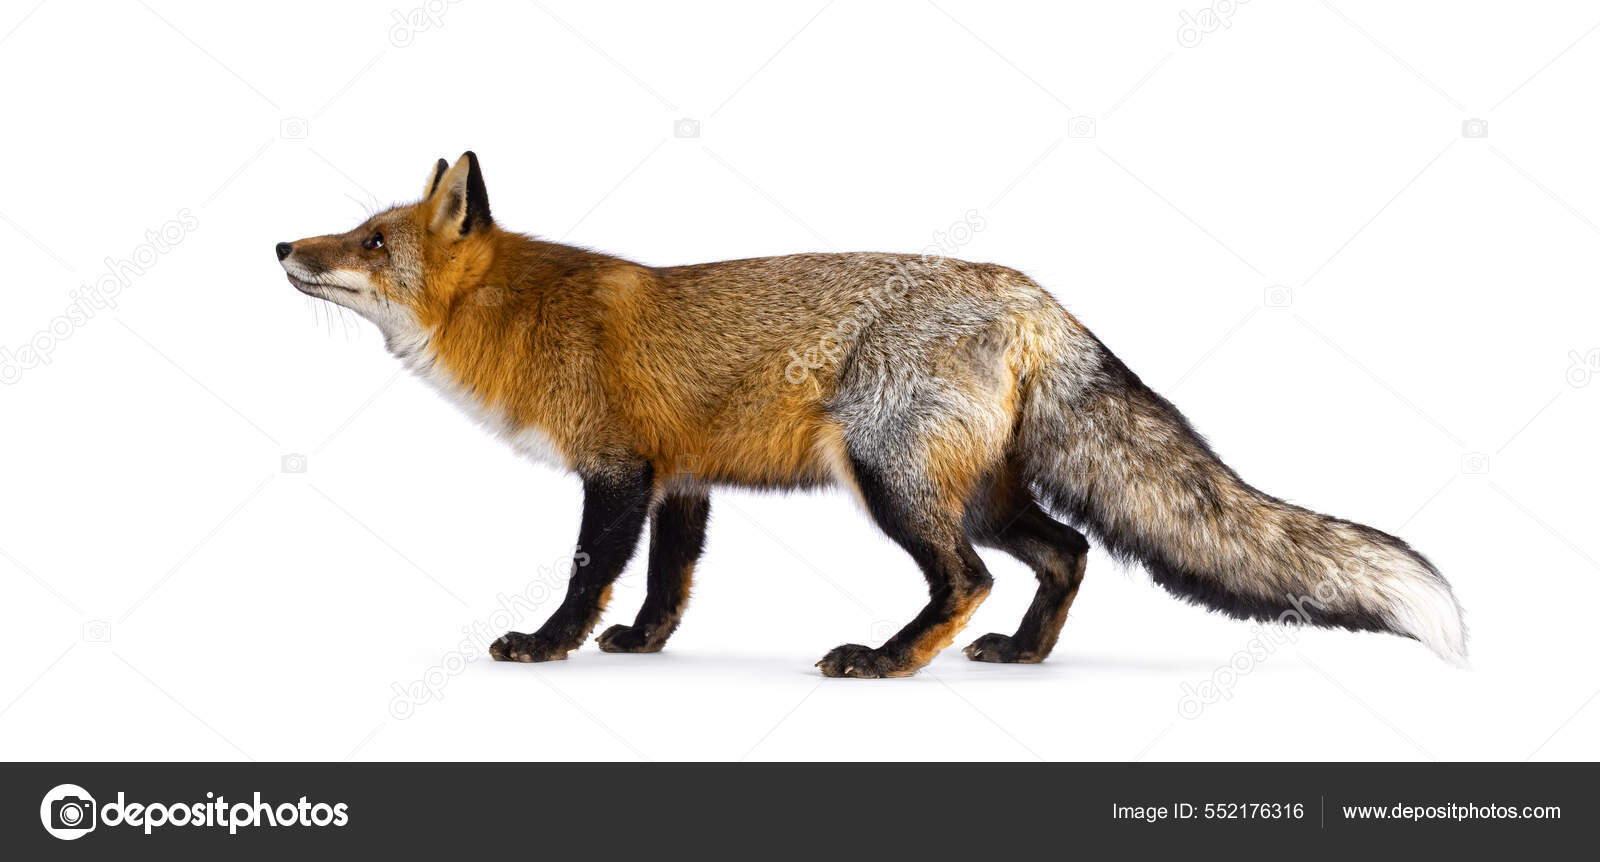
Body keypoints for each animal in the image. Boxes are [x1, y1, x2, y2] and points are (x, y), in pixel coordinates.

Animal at [276, 151, 1466, 678]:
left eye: (373, 242)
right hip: (974, 490)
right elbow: (667, 582)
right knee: (1069, 552)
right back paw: (1022, 654)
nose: (284, 244)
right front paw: (645, 646)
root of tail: (1037, 297)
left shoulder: (615, 471)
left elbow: (587, 572)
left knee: (972, 577)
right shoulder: (682, 477)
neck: (522, 315)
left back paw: (890, 660)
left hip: (893, 480)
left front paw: (546, 643)